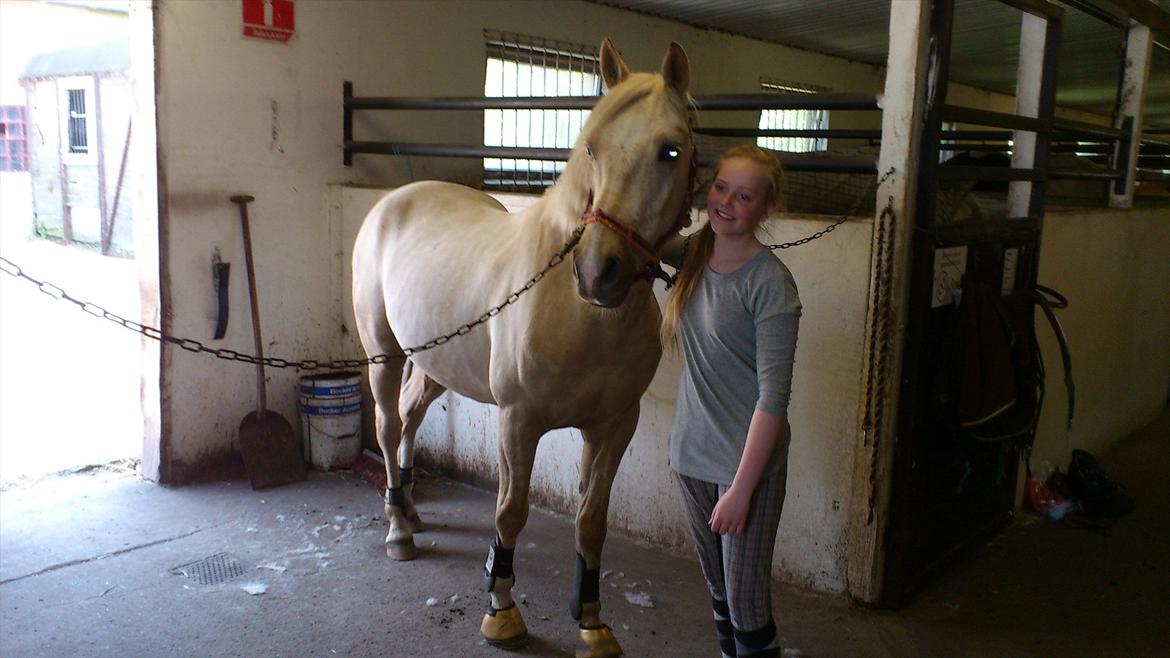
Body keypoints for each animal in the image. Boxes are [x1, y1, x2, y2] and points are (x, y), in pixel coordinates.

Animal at [351, 39, 687, 650]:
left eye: (670, 151)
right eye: (592, 147)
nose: (599, 273)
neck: (579, 312)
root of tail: (394, 200)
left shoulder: (614, 426)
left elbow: (592, 520)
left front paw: (592, 621)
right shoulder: (519, 421)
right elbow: (510, 511)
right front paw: (501, 611)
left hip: (435, 362)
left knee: (409, 417)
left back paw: (410, 510)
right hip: (383, 352)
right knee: (387, 427)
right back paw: (397, 531)